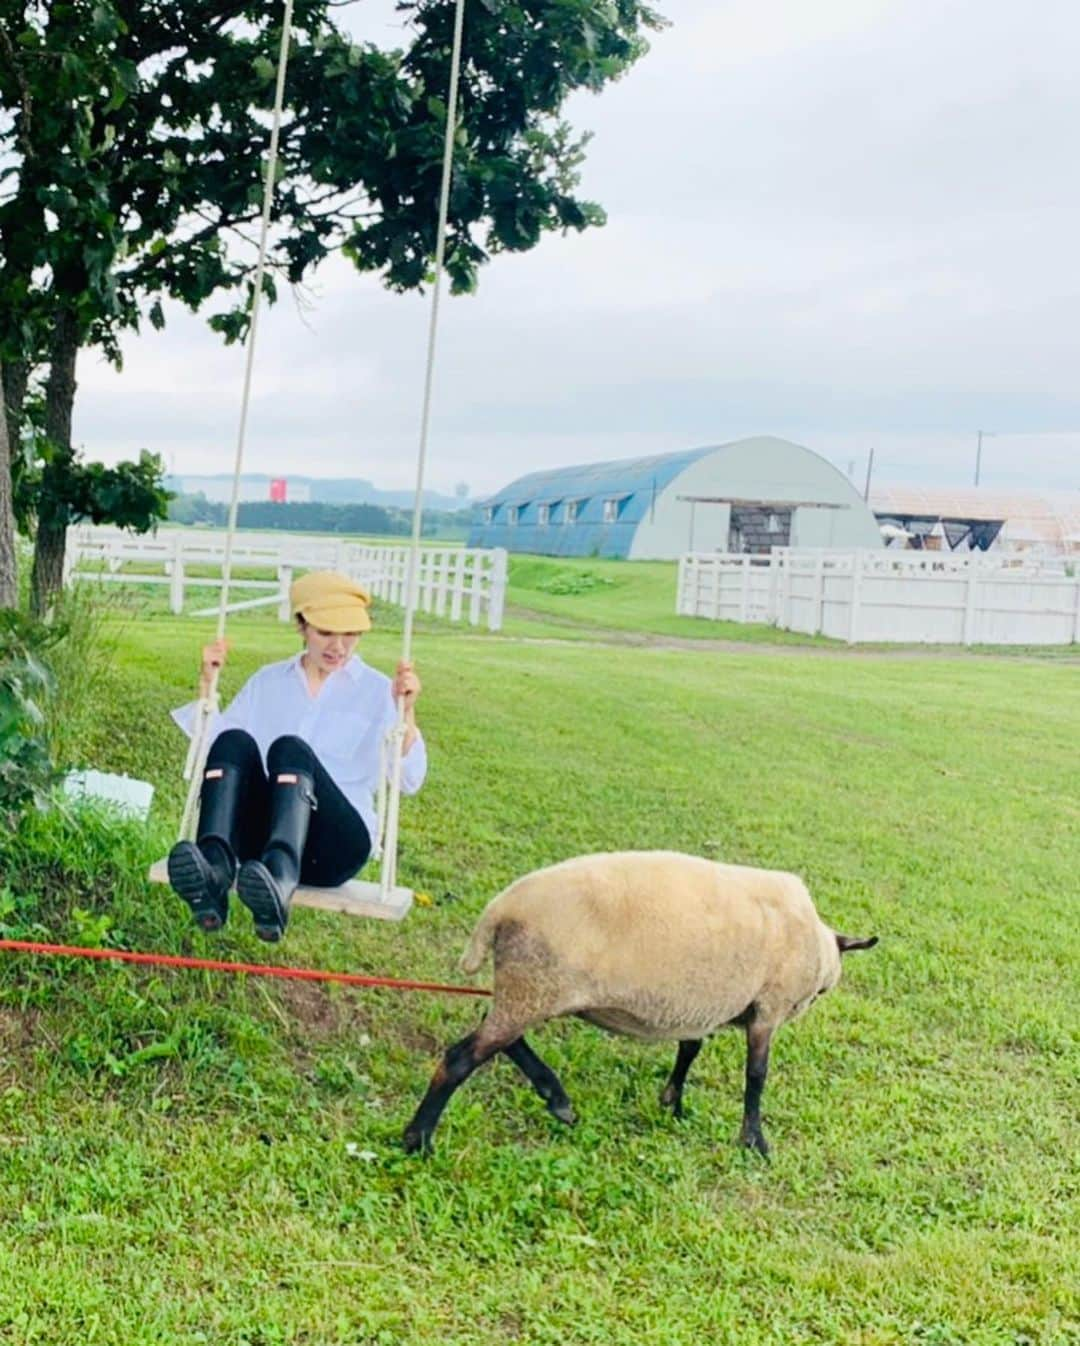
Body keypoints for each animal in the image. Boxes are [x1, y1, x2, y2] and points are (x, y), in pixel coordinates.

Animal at [403, 850, 872, 1157]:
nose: (816, 998)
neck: (817, 944)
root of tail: (498, 910)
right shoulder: (768, 1008)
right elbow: (756, 1075)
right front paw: (754, 1142)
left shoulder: (699, 1003)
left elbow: (690, 1048)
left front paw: (673, 1103)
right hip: (535, 985)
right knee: (462, 1057)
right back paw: (418, 1140)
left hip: (529, 988)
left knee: (503, 1036)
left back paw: (557, 1099)